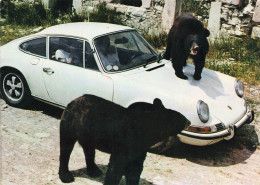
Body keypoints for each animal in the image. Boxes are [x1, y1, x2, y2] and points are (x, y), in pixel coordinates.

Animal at [58, 94, 187, 184]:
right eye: (182, 117)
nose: (188, 121)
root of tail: (73, 101)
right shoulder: (124, 142)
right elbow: (115, 168)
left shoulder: (140, 147)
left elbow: (135, 169)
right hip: (70, 124)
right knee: (66, 147)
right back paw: (66, 176)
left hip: (88, 132)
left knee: (89, 149)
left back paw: (94, 171)